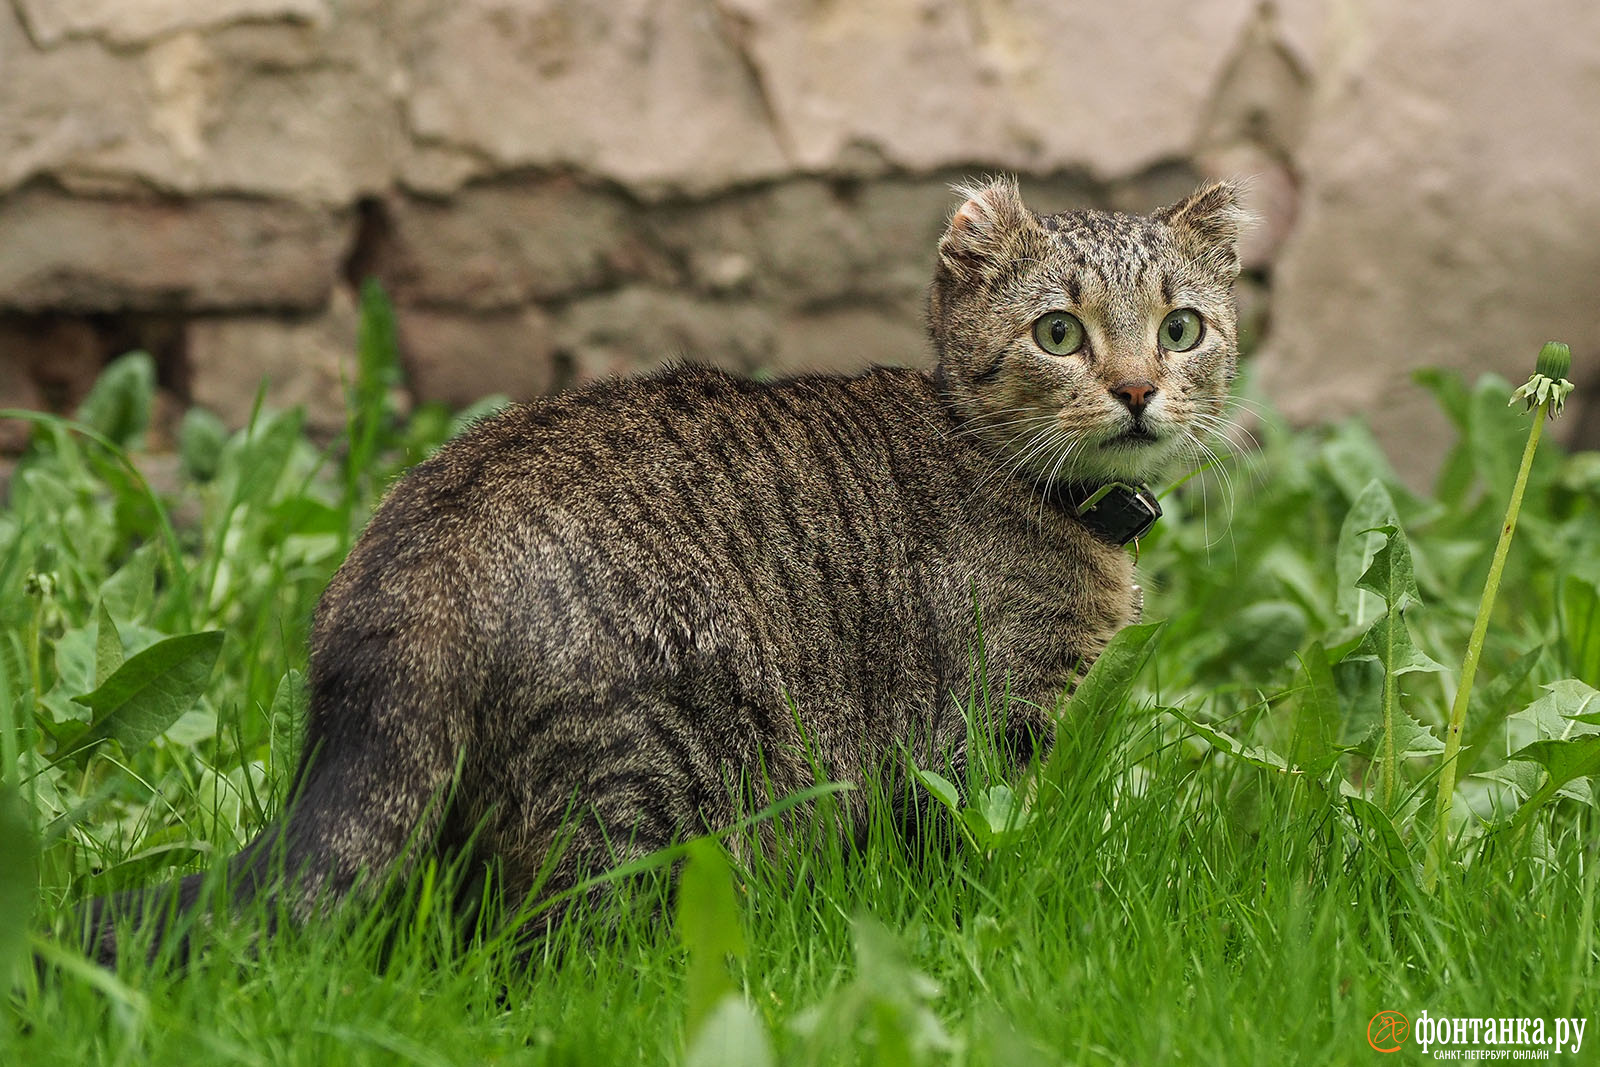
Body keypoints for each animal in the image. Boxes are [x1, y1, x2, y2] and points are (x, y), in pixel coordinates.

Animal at [81, 177, 1248, 966]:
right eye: (1058, 333)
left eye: (1181, 328)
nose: (1138, 388)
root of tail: (416, 568)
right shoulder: (972, 735)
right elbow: (961, 854)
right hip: (651, 777)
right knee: (560, 951)